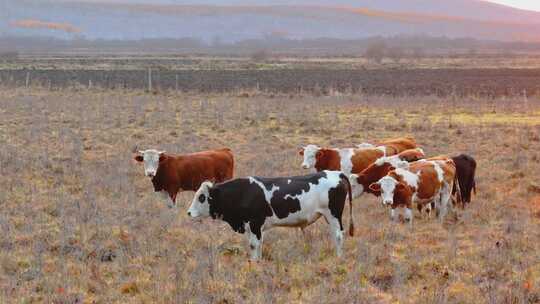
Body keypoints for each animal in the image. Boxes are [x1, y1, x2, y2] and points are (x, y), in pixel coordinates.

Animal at [187, 170, 354, 260]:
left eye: (201, 197)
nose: (188, 212)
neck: (243, 192)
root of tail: (336, 173)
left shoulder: (255, 223)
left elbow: (254, 245)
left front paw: (254, 263)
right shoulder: (252, 227)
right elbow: (257, 244)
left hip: (333, 215)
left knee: (338, 235)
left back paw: (339, 257)